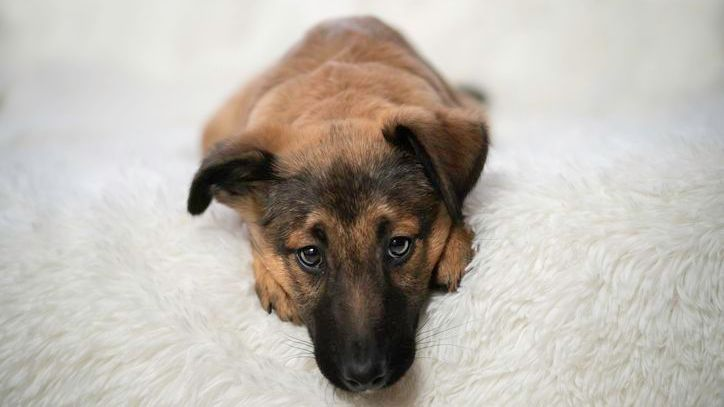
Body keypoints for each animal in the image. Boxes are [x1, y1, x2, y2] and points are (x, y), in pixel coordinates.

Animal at [189, 16, 490, 396]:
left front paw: (454, 245)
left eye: (398, 245)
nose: (364, 378)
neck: (341, 101)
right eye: (310, 254)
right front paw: (272, 280)